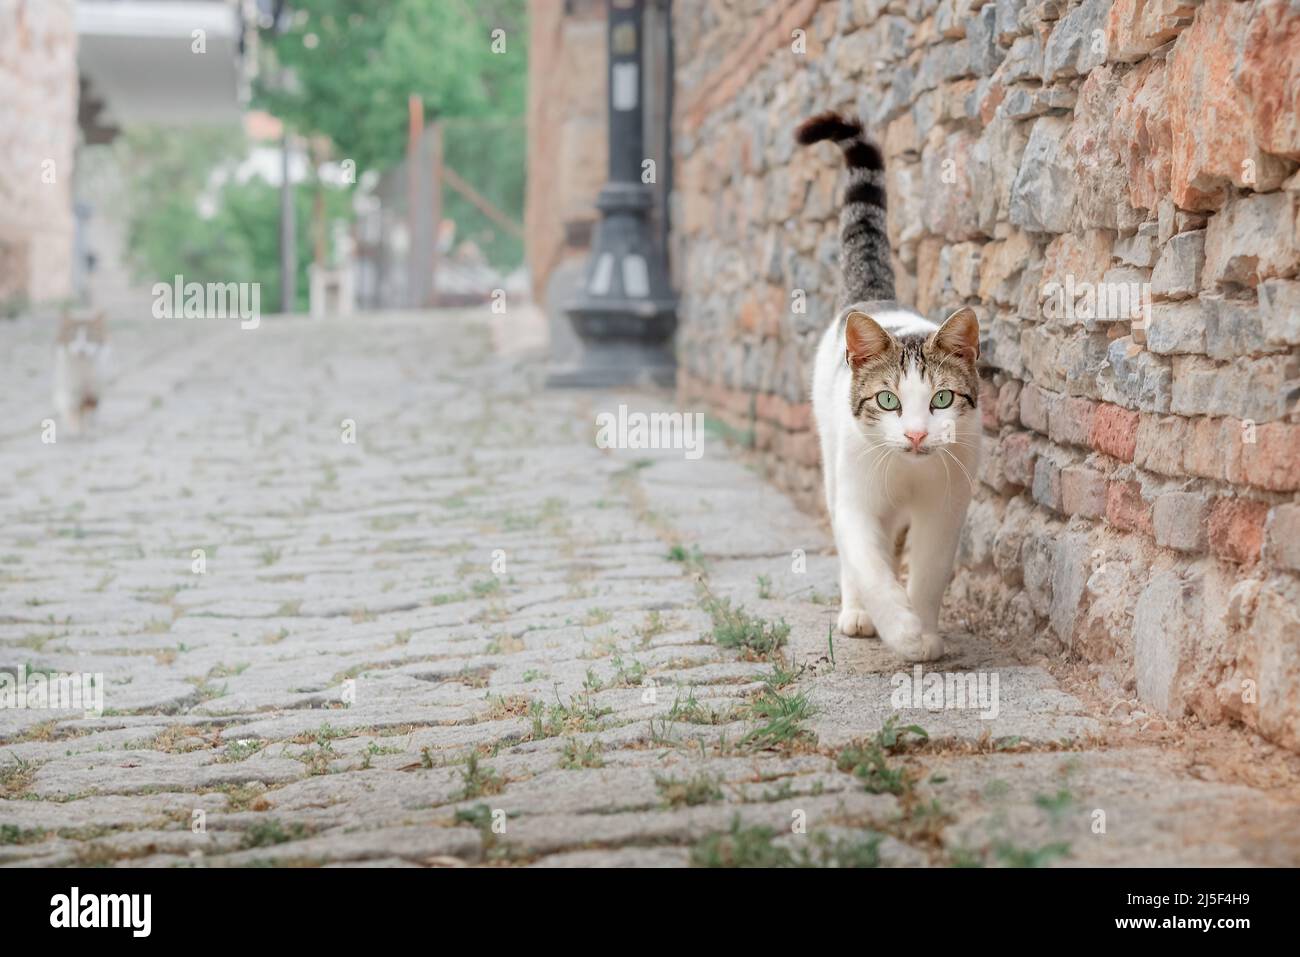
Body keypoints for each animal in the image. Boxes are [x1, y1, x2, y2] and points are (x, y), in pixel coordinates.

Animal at [795, 111, 977, 660]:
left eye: (942, 398)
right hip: (833, 459)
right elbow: (869, 565)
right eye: (888, 400)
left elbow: (930, 571)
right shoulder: (857, 501)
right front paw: (899, 627)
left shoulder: (946, 506)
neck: (908, 473)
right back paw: (857, 614)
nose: (916, 435)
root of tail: (876, 298)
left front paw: (925, 631)